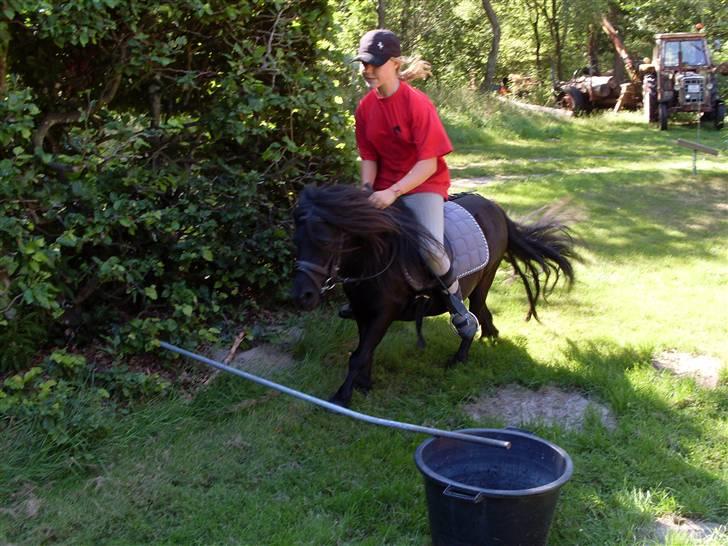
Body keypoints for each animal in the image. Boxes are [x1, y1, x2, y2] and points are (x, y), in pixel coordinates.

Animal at [290, 185, 576, 406]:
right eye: (297, 241)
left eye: (325, 242)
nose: (302, 296)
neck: (376, 257)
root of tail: (495, 208)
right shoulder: (362, 311)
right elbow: (364, 351)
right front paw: (363, 384)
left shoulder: (383, 313)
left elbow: (359, 354)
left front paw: (342, 397)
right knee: (482, 312)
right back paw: (489, 337)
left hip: (484, 278)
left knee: (471, 313)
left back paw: (460, 357)